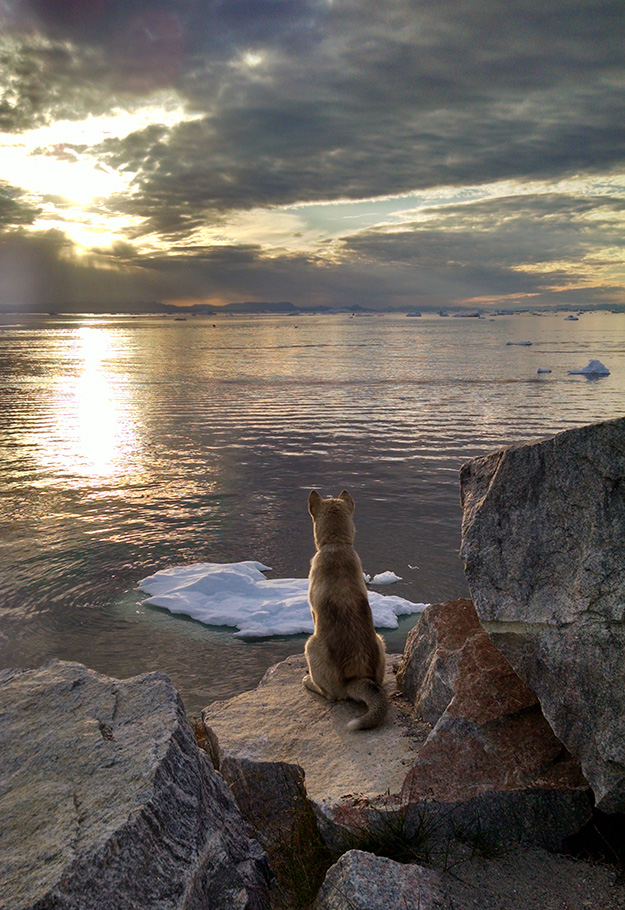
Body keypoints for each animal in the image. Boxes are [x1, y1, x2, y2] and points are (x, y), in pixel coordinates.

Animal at [302, 492, 386, 732]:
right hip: (380, 640)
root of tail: (356, 679)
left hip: (310, 644)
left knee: (330, 694)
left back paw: (309, 682)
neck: (336, 545)